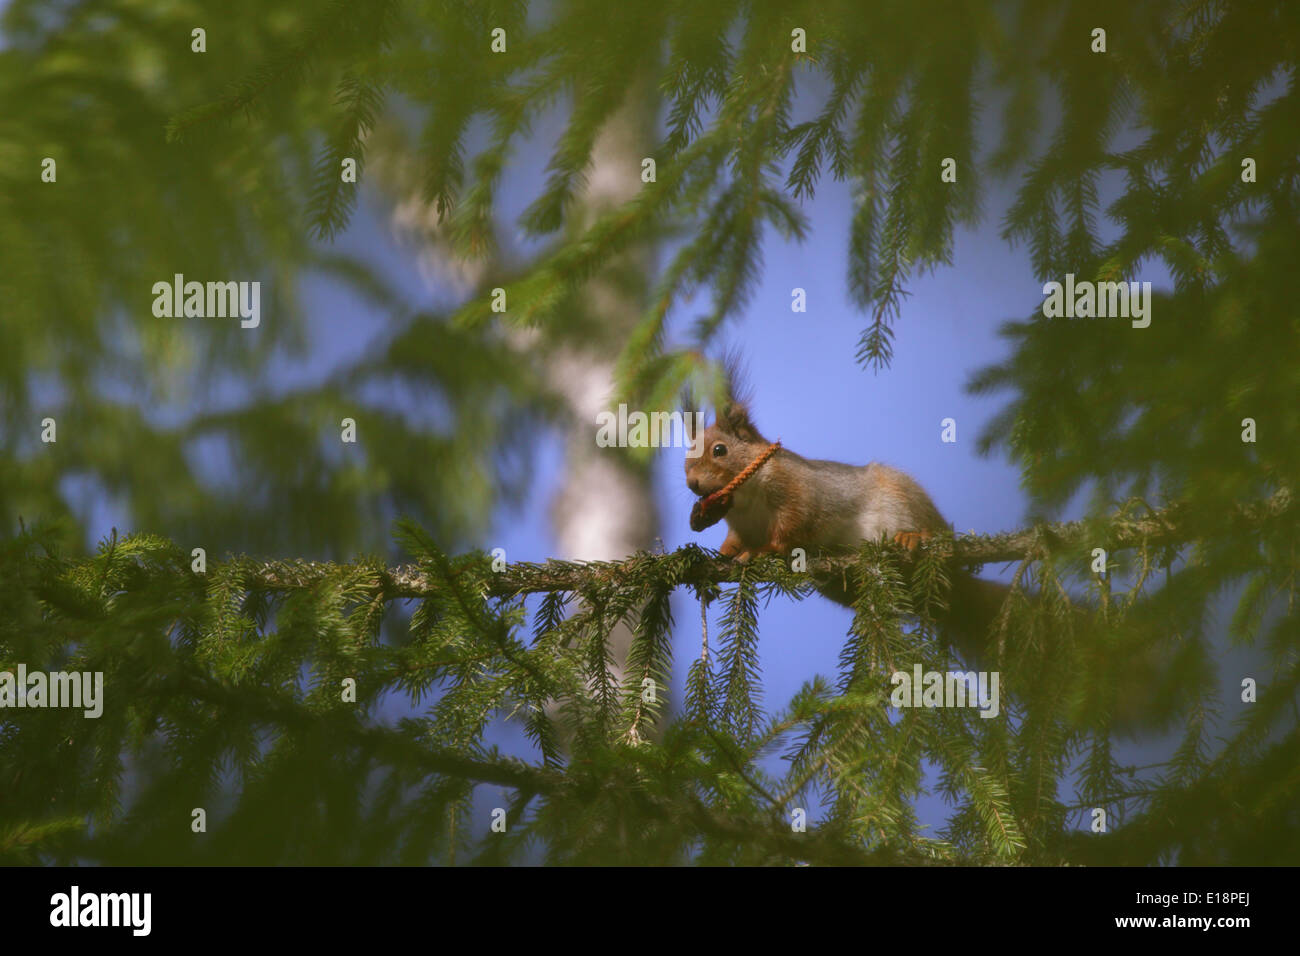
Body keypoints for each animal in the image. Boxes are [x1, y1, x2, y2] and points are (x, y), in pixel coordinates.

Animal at [684, 399, 1009, 661]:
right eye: (685, 457)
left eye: (719, 450)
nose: (692, 484)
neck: (744, 502)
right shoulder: (739, 527)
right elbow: (734, 541)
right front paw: (722, 555)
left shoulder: (798, 493)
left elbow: (790, 529)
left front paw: (761, 551)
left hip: (906, 498)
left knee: (935, 531)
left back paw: (914, 537)